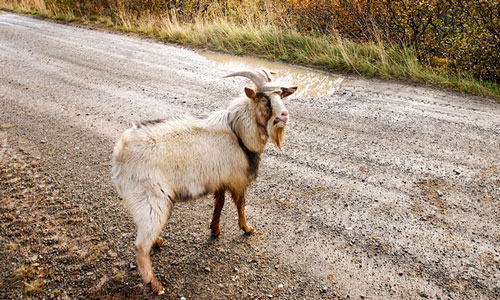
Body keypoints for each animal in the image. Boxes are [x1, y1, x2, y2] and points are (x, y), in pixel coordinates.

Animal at [111, 69, 296, 296]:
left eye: (281, 95)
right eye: (263, 99)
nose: (284, 115)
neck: (238, 132)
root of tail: (120, 153)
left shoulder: (221, 179)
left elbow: (219, 204)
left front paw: (215, 230)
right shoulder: (237, 180)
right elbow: (240, 205)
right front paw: (247, 228)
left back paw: (158, 242)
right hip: (152, 200)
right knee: (140, 247)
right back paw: (155, 285)